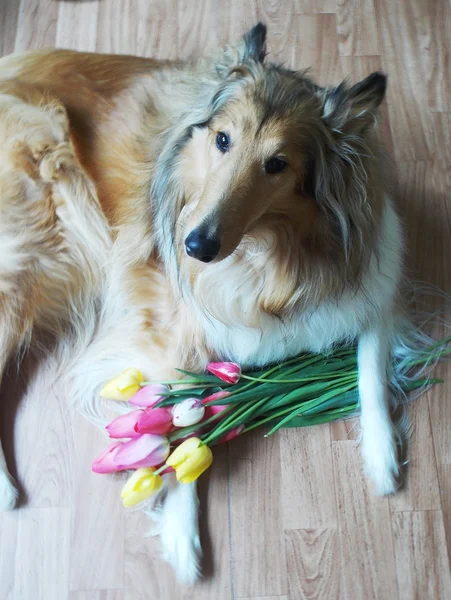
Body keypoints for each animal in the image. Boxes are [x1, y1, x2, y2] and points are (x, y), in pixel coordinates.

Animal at [0, 25, 402, 584]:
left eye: (277, 164)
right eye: (222, 140)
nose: (195, 246)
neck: (270, 259)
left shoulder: (367, 287)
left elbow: (372, 368)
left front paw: (382, 460)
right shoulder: (173, 333)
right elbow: (179, 426)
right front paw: (182, 536)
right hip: (35, 254)